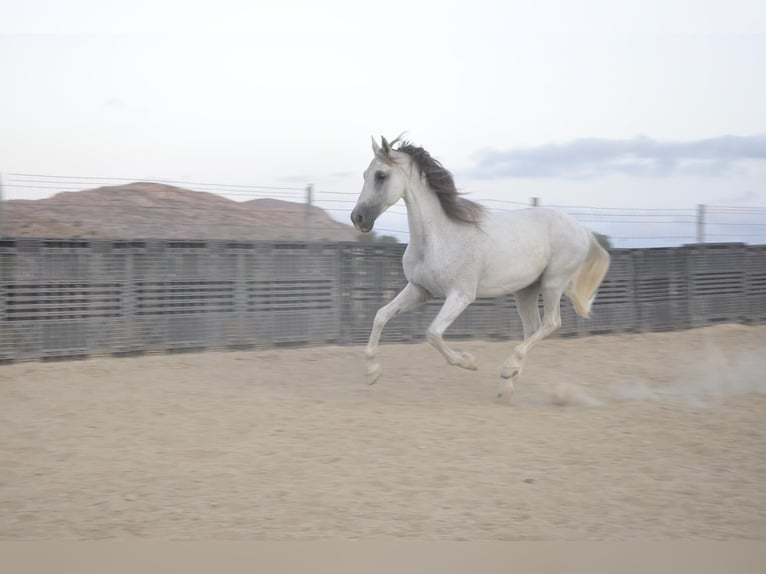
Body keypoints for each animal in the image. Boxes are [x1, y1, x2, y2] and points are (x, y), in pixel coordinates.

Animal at [350, 138, 612, 400]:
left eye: (381, 175)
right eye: (364, 174)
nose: (358, 218)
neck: (438, 238)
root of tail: (582, 229)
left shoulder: (461, 295)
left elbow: (432, 333)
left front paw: (469, 361)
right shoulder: (419, 291)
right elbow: (381, 315)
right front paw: (372, 373)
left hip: (553, 283)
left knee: (551, 323)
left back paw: (508, 369)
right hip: (525, 291)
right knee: (533, 328)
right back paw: (508, 383)